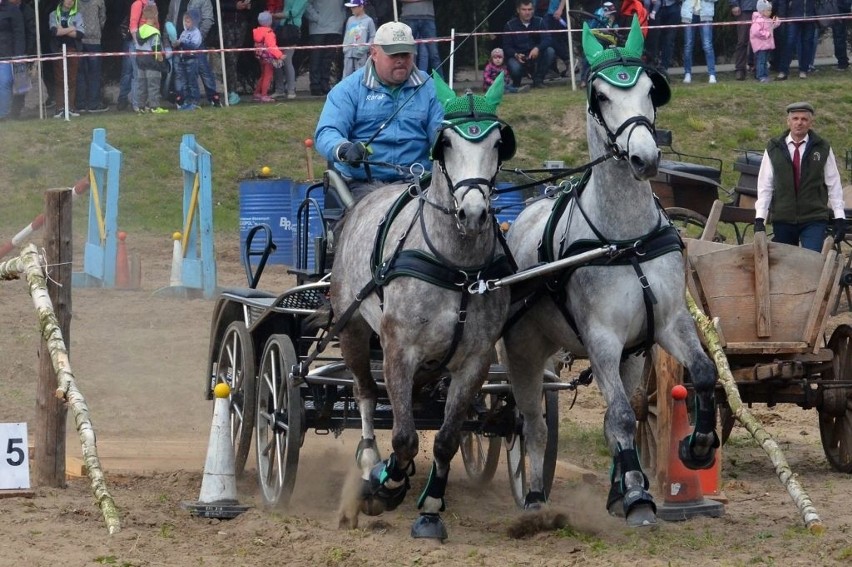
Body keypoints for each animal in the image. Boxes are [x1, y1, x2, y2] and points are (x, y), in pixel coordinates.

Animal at [330, 74, 516, 540]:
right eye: (445, 143)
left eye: (498, 143)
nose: (473, 212)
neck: (457, 267)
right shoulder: (399, 350)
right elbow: (403, 437)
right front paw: (385, 486)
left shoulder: (475, 361)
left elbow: (446, 437)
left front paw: (431, 508)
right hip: (353, 329)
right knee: (365, 393)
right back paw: (368, 461)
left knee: (407, 403)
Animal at [500, 21, 720, 528]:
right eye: (600, 95)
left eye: (649, 90)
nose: (645, 157)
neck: (627, 241)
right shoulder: (601, 337)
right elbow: (619, 415)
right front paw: (639, 498)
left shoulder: (668, 322)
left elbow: (702, 372)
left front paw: (697, 447)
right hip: (524, 352)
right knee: (531, 423)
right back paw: (535, 497)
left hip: (632, 356)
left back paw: (618, 488)